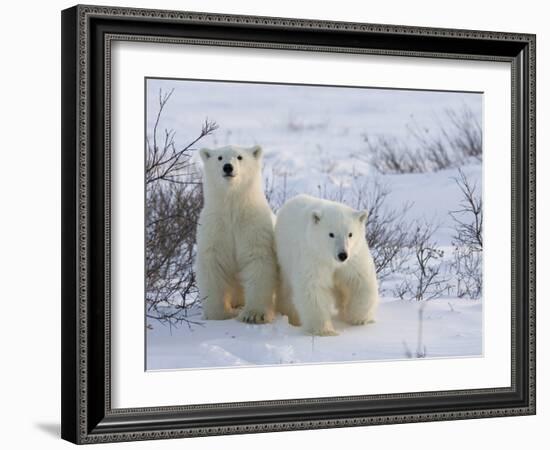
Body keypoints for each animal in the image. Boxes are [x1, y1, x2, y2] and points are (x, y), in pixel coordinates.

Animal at [196, 144, 278, 324]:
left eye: (240, 157)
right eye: (219, 157)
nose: (228, 167)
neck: (232, 206)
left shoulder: (253, 226)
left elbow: (258, 260)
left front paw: (254, 315)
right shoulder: (215, 227)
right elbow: (213, 265)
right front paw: (220, 313)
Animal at [274, 195, 380, 336]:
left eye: (350, 234)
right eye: (331, 234)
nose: (342, 255)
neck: (330, 259)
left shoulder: (354, 258)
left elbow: (360, 281)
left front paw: (358, 318)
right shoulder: (314, 257)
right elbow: (313, 288)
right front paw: (325, 330)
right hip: (285, 256)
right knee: (287, 290)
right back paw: (291, 316)